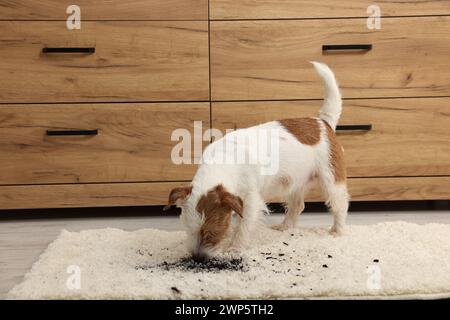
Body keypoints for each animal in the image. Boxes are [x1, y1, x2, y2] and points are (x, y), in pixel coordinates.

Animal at [167, 62, 350, 260]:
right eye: (187, 230)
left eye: (212, 234)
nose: (197, 258)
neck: (225, 159)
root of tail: (323, 122)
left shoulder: (251, 201)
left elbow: (243, 226)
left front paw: (235, 247)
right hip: (294, 181)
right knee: (297, 205)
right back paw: (286, 226)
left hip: (331, 179)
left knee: (340, 204)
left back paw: (337, 231)